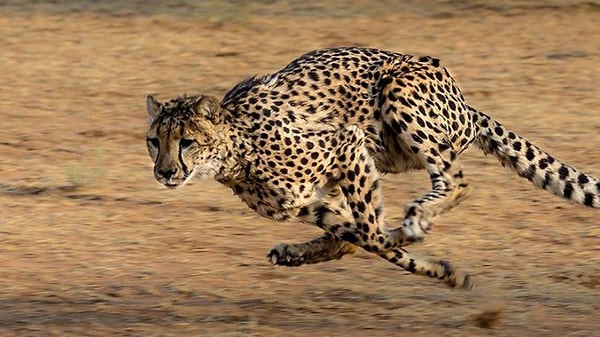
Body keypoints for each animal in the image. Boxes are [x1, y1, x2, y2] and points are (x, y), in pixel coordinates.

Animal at [145, 46, 600, 288]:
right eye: (154, 142)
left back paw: (416, 217)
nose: (164, 172)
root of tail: (465, 101)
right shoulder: (307, 201)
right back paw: (298, 252)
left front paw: (422, 250)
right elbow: (359, 236)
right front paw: (441, 270)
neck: (235, 149)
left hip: (398, 92)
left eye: (186, 141)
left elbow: (371, 234)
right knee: (349, 236)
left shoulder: (346, 143)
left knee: (456, 180)